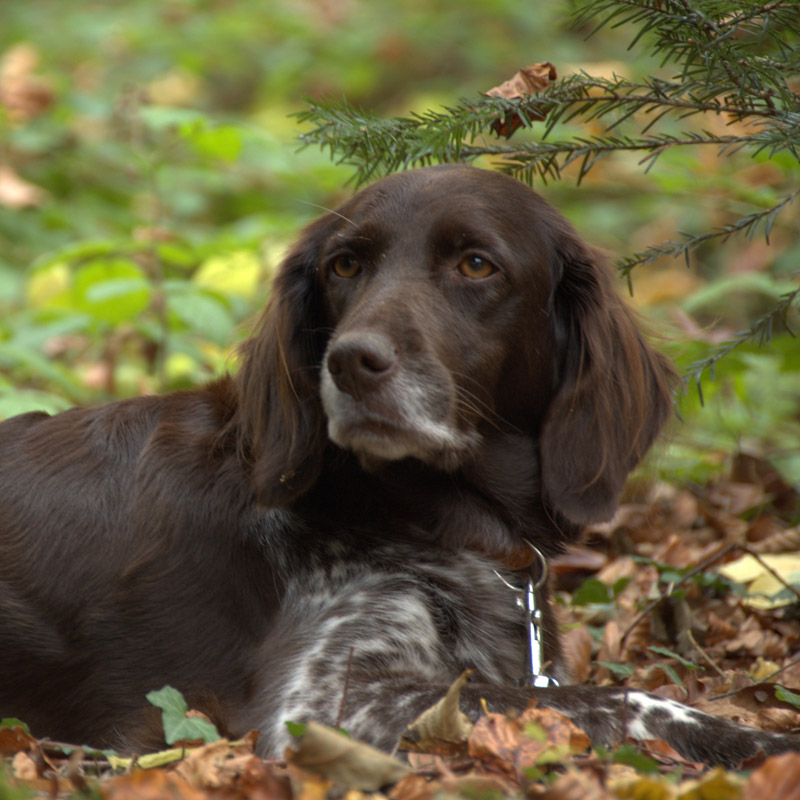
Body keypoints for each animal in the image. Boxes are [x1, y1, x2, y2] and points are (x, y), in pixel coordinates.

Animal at [1, 164, 800, 768]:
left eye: (476, 264)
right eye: (345, 264)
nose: (350, 361)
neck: (434, 519)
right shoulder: (328, 699)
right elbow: (623, 700)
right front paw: (760, 744)